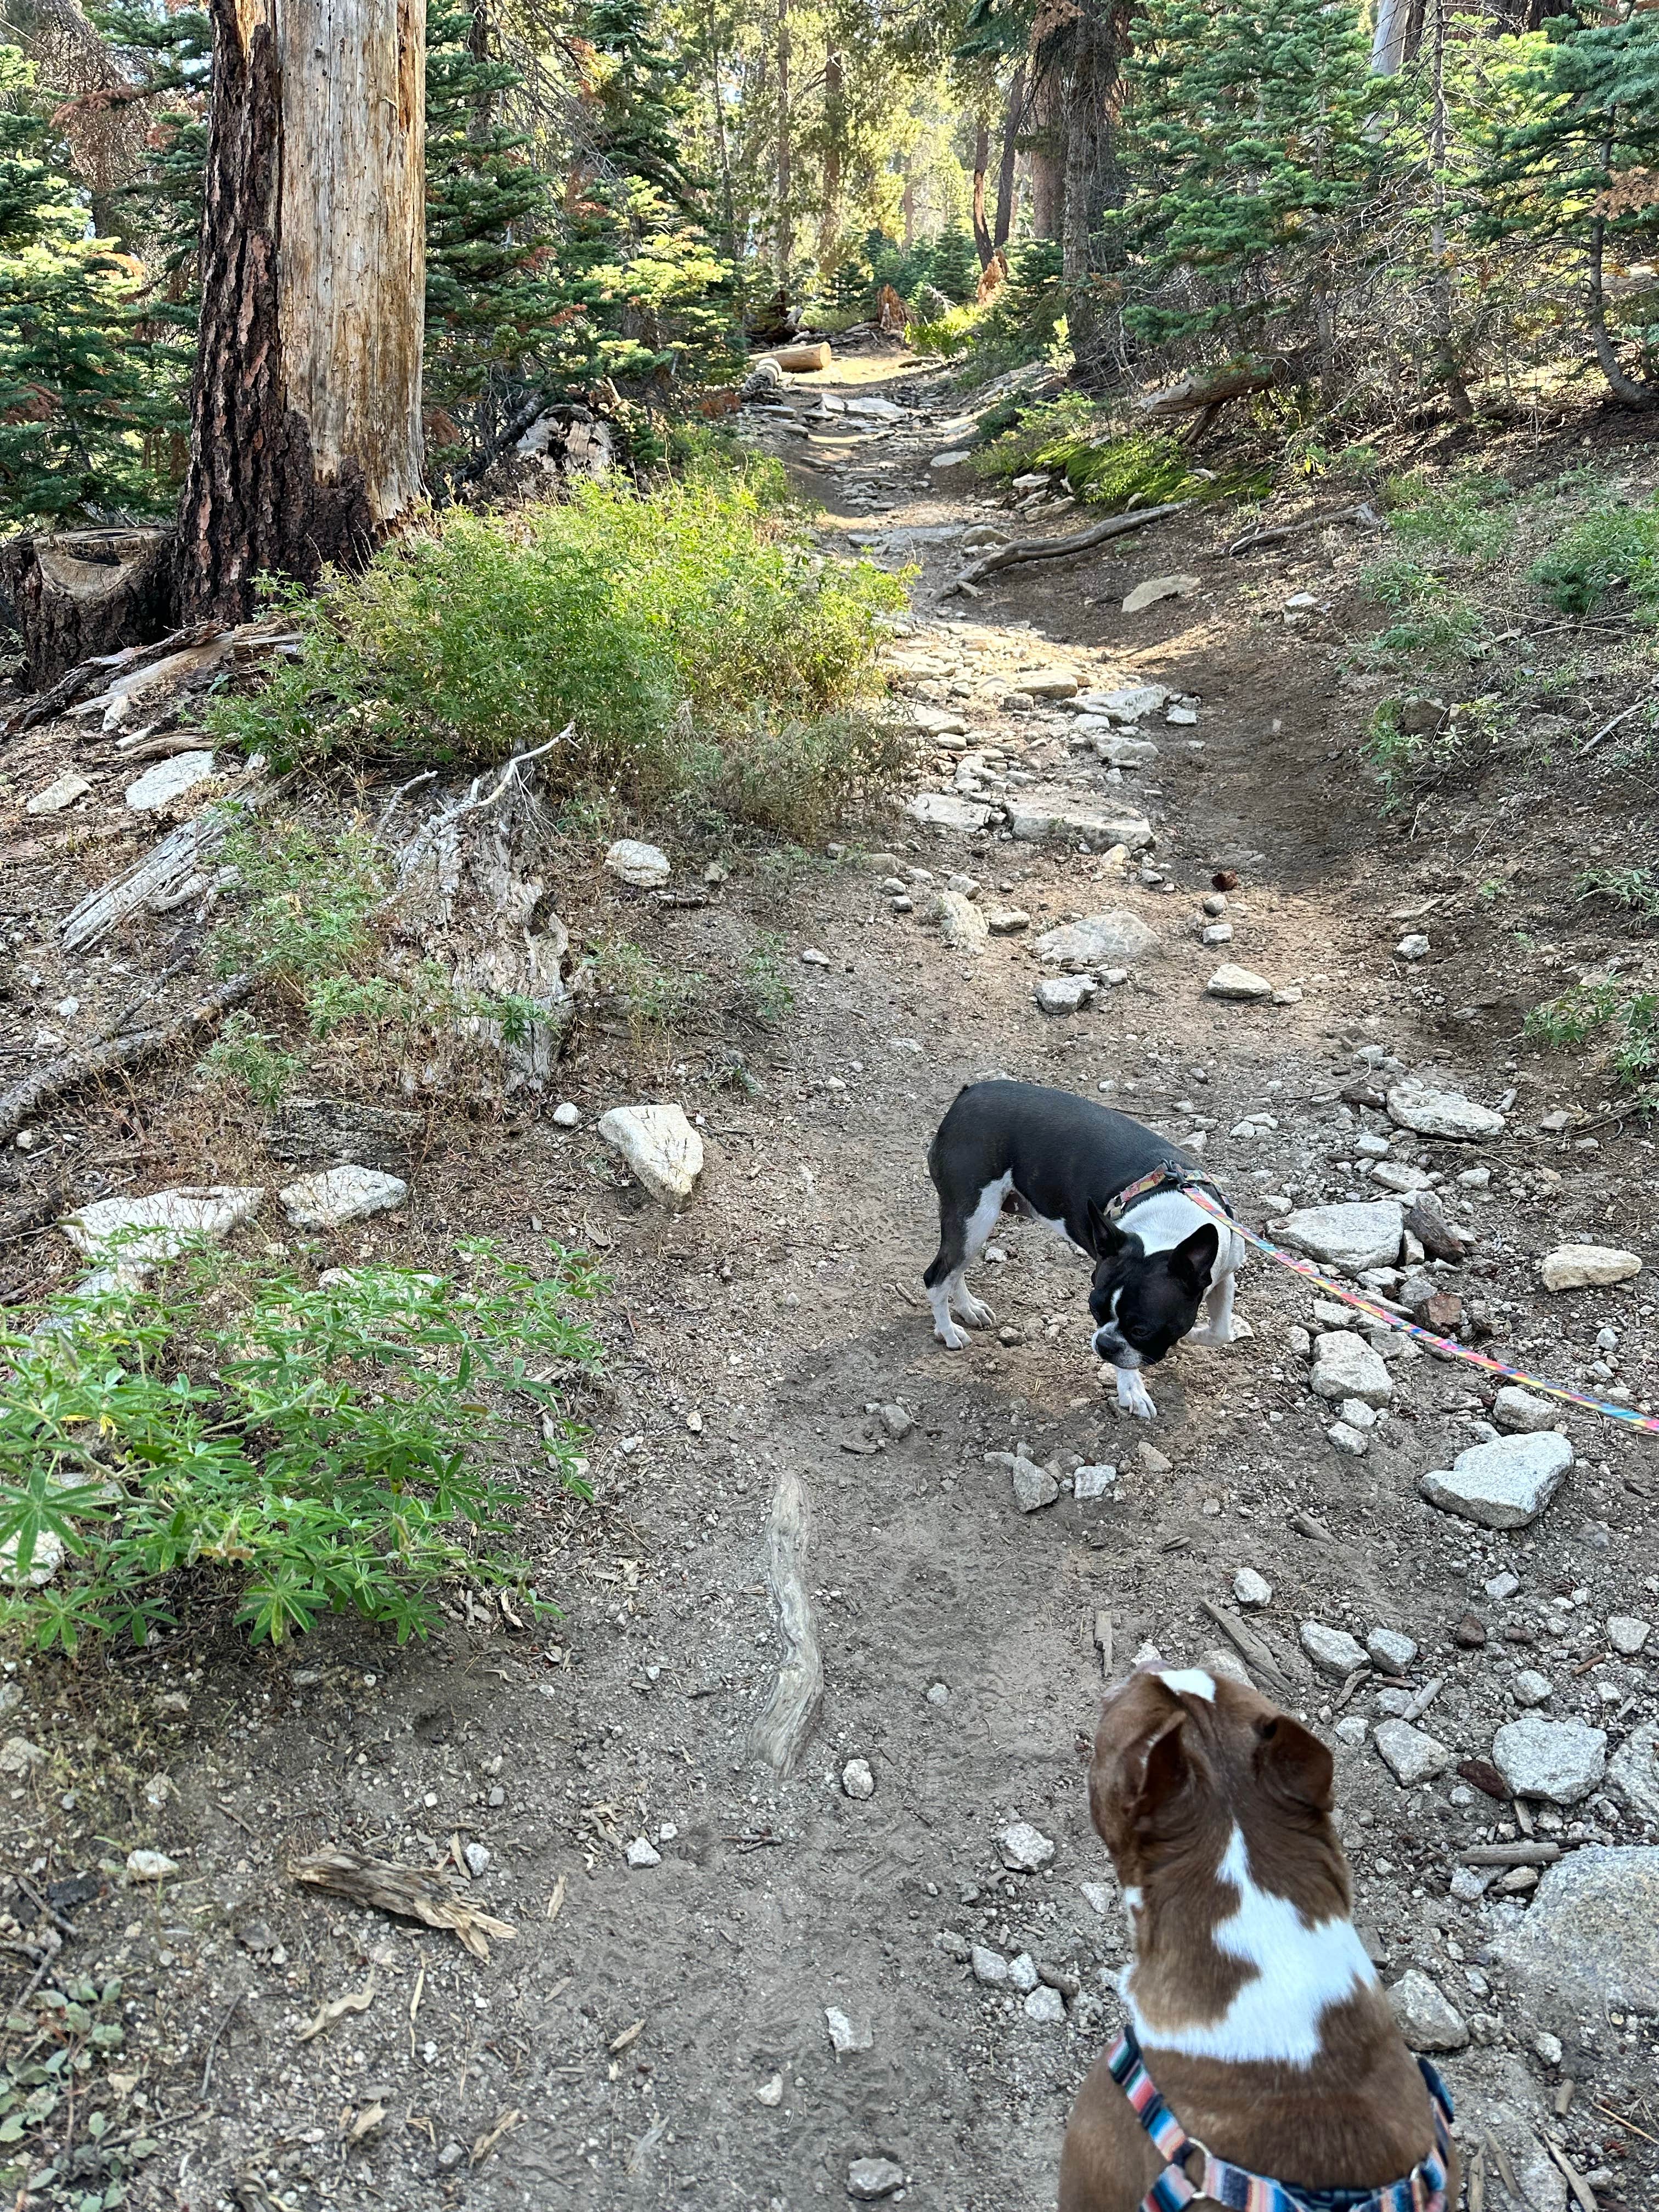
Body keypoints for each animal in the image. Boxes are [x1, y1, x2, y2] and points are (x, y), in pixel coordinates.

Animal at [929, 1084, 1238, 1415]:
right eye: (1094, 1311)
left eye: (1142, 1330)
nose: (1103, 1345)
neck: (1169, 1226)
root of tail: (967, 1094)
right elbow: (1128, 1362)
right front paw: (1133, 1391)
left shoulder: (1223, 1274)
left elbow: (1221, 1331)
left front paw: (1193, 1333)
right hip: (975, 1217)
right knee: (937, 1278)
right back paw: (949, 1332)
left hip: (973, 1227)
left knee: (955, 1270)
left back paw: (969, 1309)